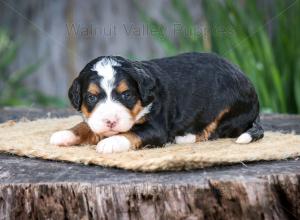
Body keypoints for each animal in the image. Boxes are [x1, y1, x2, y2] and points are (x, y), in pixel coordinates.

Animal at [50, 52, 264, 154]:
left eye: (126, 95)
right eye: (92, 97)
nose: (110, 121)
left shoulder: (156, 129)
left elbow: (131, 133)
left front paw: (110, 143)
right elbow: (85, 125)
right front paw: (64, 134)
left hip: (229, 109)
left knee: (215, 130)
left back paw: (185, 138)